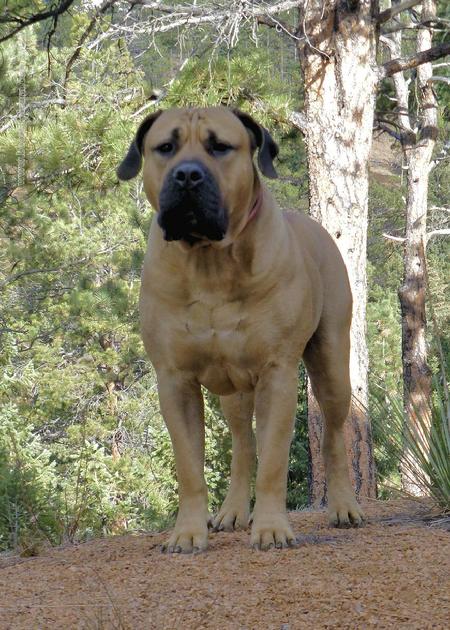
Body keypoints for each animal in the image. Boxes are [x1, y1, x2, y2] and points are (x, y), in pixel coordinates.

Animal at [118, 107, 364, 552]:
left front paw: (271, 529)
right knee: (242, 444)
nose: (187, 175)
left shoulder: (277, 373)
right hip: (232, 392)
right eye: (165, 147)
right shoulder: (175, 380)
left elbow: (274, 463)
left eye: (220, 146)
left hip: (332, 364)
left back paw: (343, 507)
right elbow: (189, 467)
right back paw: (232, 512)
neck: (210, 263)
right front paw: (187, 533)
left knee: (335, 435)